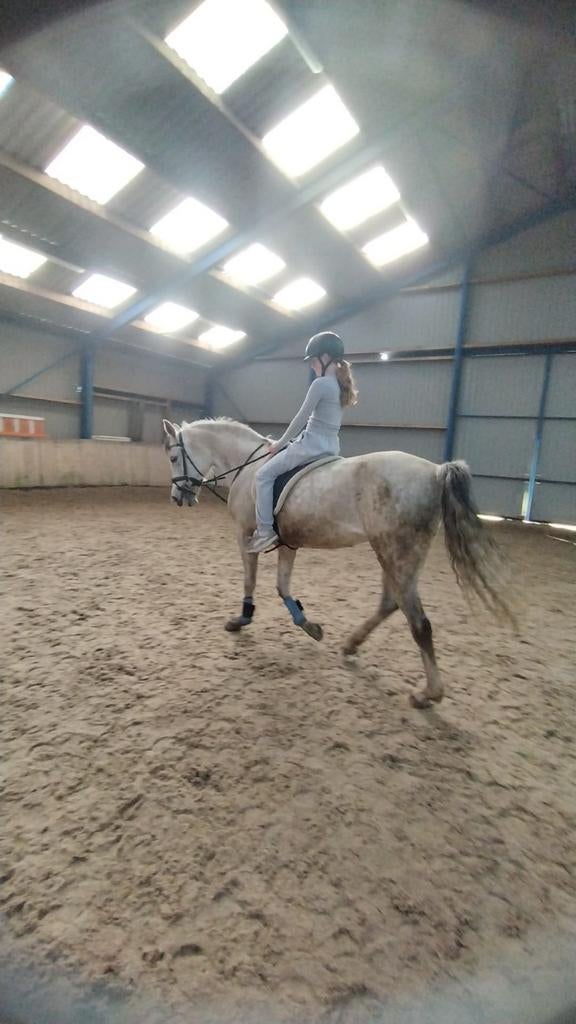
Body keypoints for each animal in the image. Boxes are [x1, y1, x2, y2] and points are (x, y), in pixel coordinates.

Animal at [162, 417, 513, 709]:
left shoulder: (245, 534)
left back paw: (428, 694)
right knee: (391, 603)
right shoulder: (289, 543)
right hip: (394, 554)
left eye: (172, 457)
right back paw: (350, 646)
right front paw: (309, 626)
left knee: (418, 623)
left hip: (394, 552)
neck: (249, 465)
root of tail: (436, 471)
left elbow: (251, 579)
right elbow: (282, 587)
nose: (177, 498)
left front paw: (241, 619)